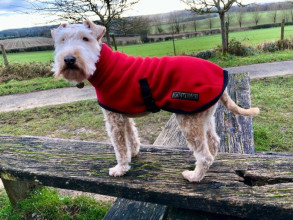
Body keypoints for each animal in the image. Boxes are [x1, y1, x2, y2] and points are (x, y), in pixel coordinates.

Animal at [52, 20, 258, 182]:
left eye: (85, 39)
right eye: (61, 40)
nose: (69, 59)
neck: (103, 65)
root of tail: (222, 75)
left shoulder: (113, 118)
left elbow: (119, 147)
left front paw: (120, 169)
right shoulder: (122, 114)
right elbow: (132, 136)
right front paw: (133, 153)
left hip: (188, 119)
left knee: (205, 154)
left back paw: (194, 176)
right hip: (203, 116)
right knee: (214, 142)